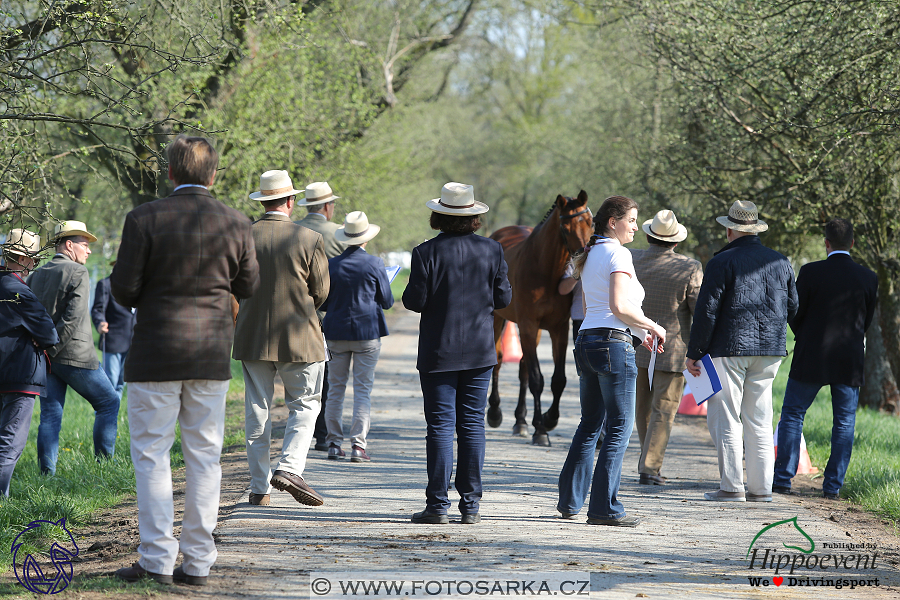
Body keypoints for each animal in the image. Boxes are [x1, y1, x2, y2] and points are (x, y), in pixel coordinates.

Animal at [488, 192, 596, 446]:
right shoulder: (528, 325)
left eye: (591, 222)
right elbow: (537, 380)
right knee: (498, 360)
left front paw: (548, 420)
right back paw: (495, 413)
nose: (584, 255)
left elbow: (558, 380)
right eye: (565, 228)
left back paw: (520, 421)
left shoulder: (558, 329)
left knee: (523, 368)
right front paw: (540, 430)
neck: (545, 270)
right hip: (499, 319)